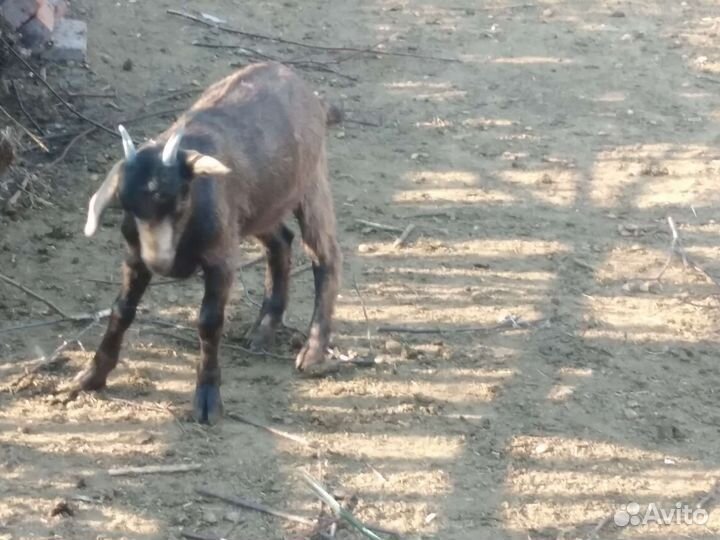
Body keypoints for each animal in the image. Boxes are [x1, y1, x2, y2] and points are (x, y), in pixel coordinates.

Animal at [77, 62, 342, 424]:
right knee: (281, 242)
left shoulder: (221, 260)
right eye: (127, 207)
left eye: (179, 199)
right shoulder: (135, 257)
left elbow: (208, 322)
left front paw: (207, 399)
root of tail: (309, 93)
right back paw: (264, 329)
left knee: (325, 255)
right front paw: (91, 376)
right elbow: (121, 310)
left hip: (310, 183)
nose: (161, 264)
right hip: (258, 209)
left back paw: (313, 352)